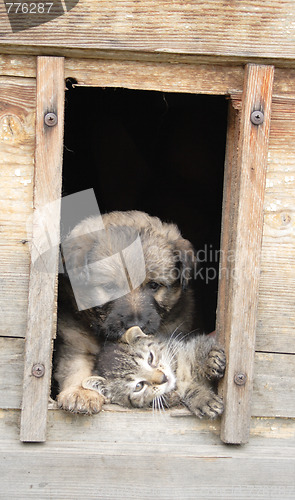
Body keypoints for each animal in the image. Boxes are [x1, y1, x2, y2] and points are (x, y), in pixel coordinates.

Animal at [83, 328, 227, 418]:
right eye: (138, 386)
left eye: (150, 358)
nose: (164, 378)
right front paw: (203, 399)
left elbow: (201, 346)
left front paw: (210, 360)